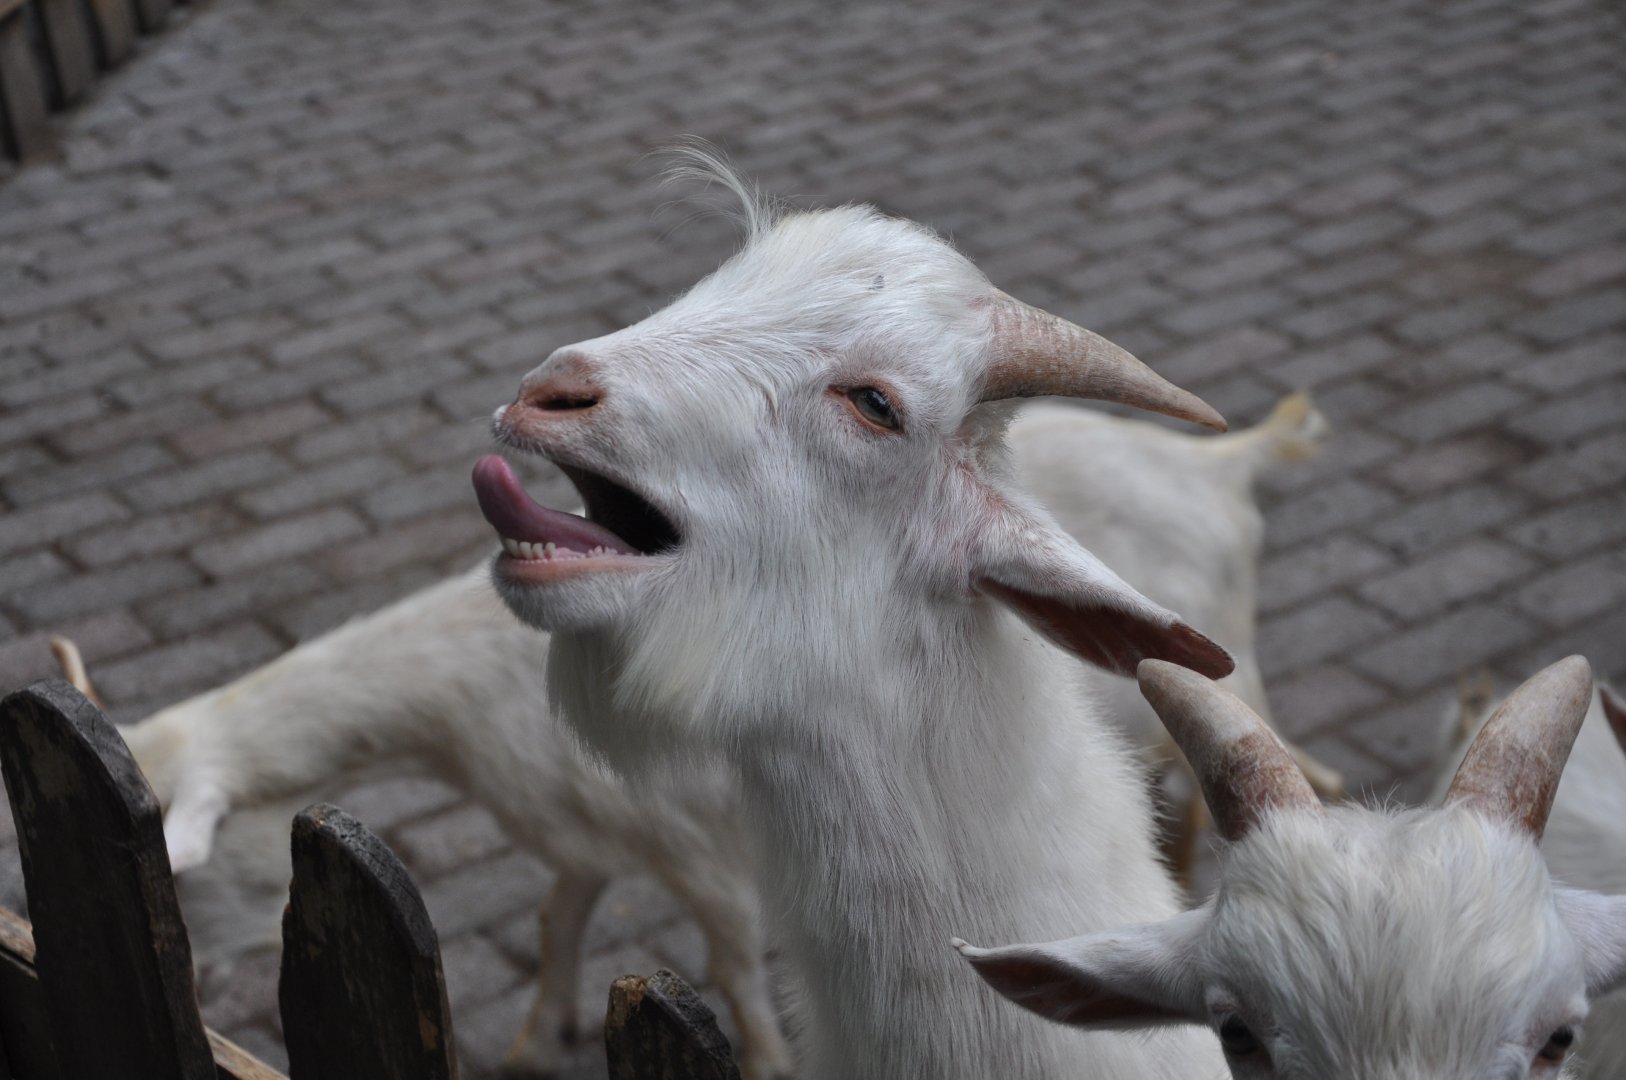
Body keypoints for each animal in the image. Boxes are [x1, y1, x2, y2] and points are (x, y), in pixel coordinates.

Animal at [52, 572, 790, 1080]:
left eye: (186, 870)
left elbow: (735, 971)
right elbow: (557, 921)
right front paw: (537, 1044)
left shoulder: (698, 843)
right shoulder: (585, 823)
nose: (196, 986)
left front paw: (769, 1063)